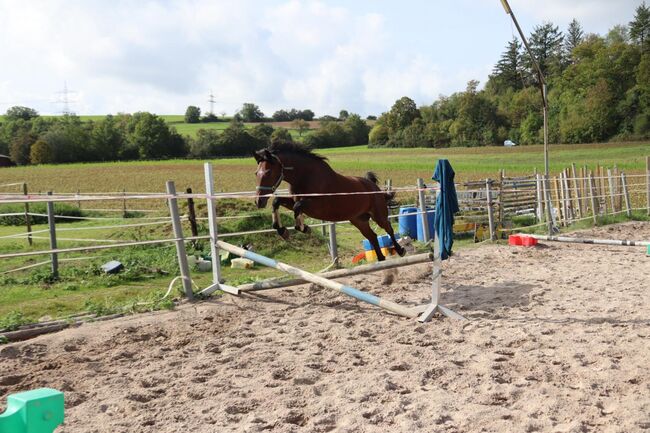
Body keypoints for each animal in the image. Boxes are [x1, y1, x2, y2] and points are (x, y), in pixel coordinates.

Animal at [252, 142, 400, 260]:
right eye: (256, 173)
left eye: (268, 172)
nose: (259, 201)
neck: (305, 176)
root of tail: (372, 185)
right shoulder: (295, 200)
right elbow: (277, 201)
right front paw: (282, 230)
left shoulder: (316, 206)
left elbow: (297, 207)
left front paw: (304, 228)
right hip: (359, 220)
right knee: (372, 236)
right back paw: (380, 258)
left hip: (378, 215)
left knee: (389, 228)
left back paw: (400, 250)